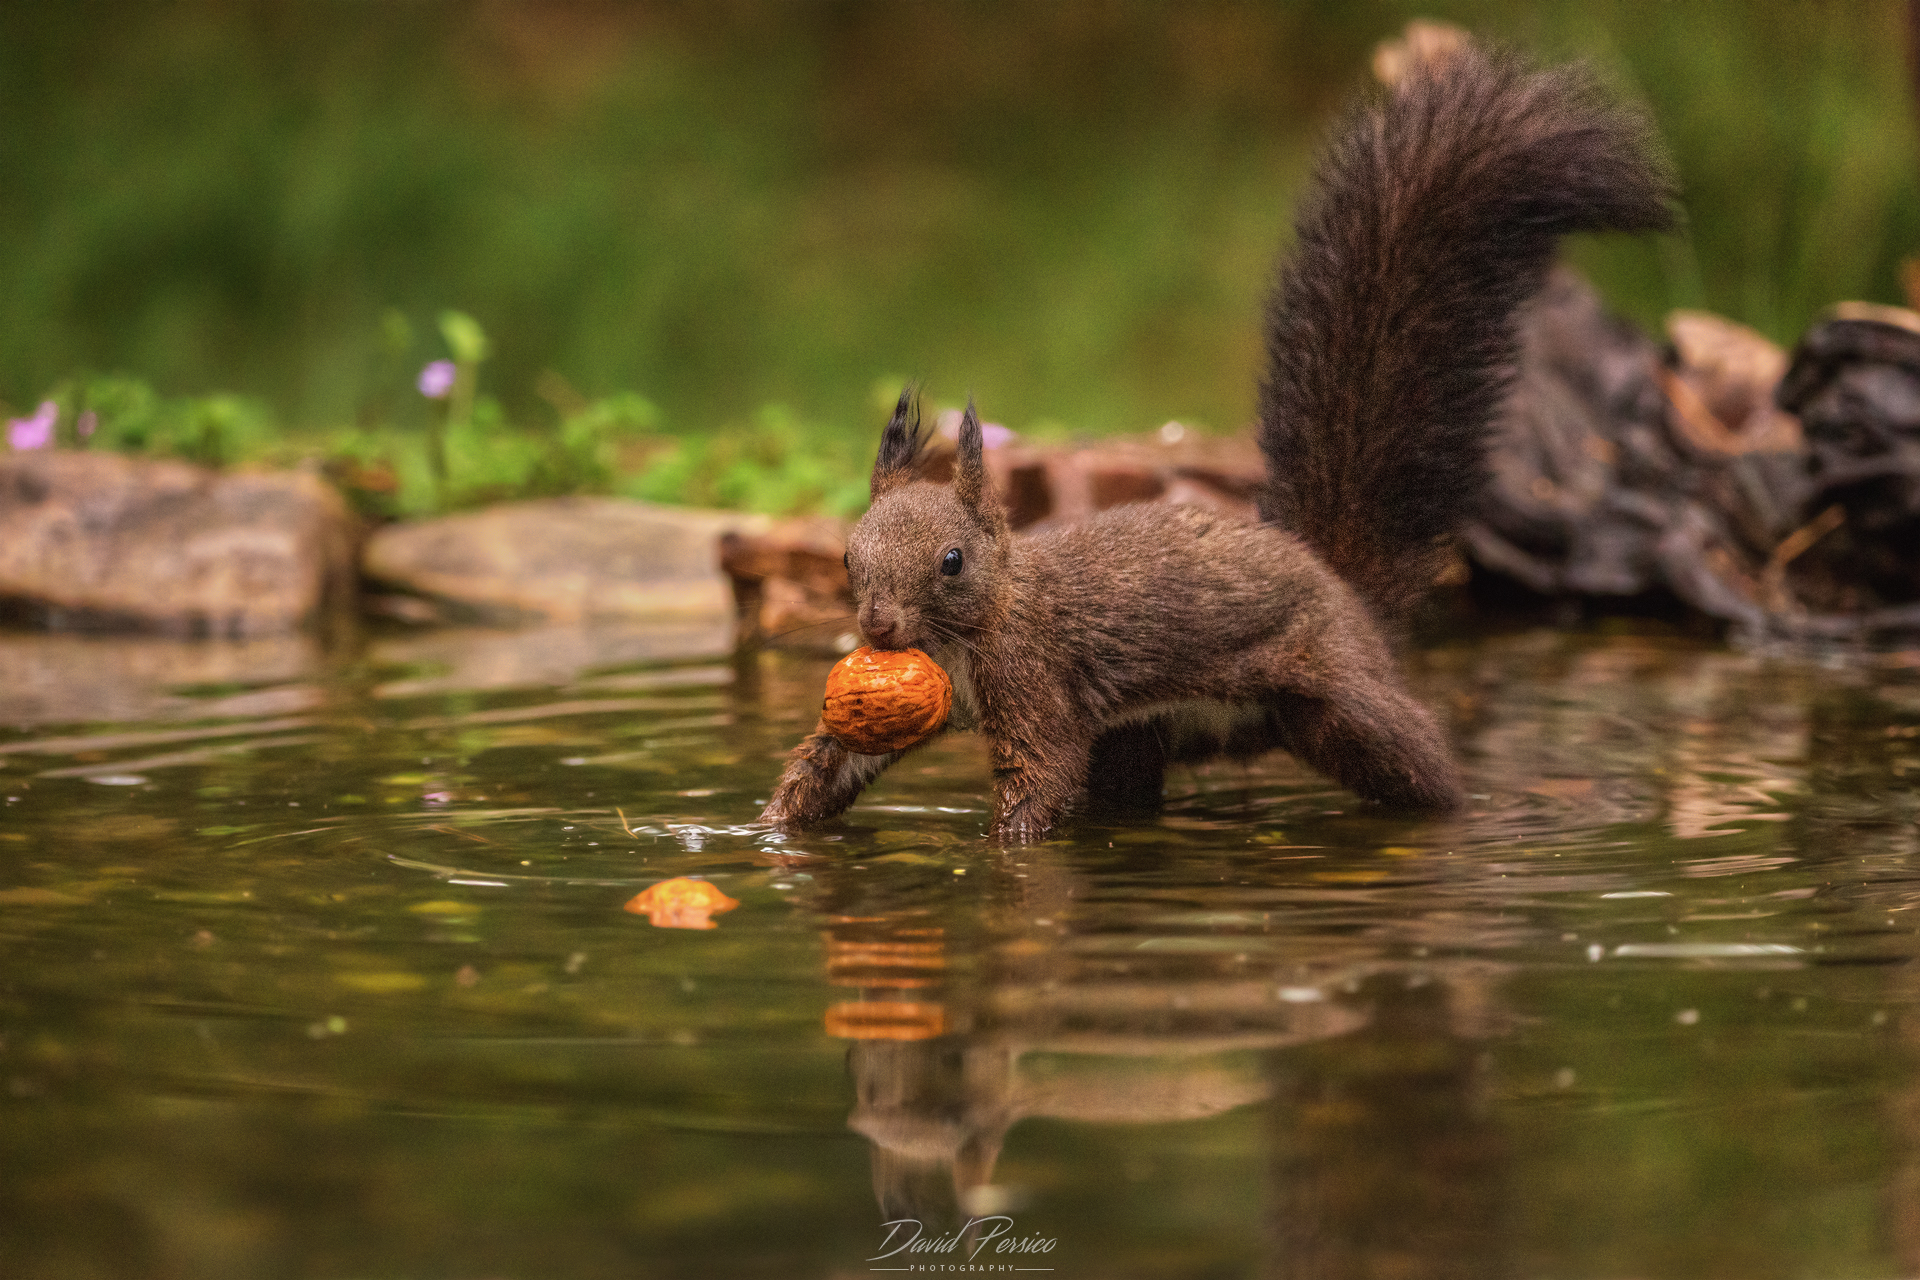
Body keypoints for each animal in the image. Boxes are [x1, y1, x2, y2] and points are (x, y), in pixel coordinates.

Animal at [760, 45, 1674, 841]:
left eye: (951, 561)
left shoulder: (1036, 681)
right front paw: (768, 829)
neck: (974, 630)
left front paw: (1005, 848)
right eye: (846, 557)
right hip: (1140, 737)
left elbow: (1042, 771)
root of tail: (1336, 580)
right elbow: (832, 761)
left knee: (1418, 757)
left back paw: (1466, 815)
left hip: (1341, 701)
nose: (878, 625)